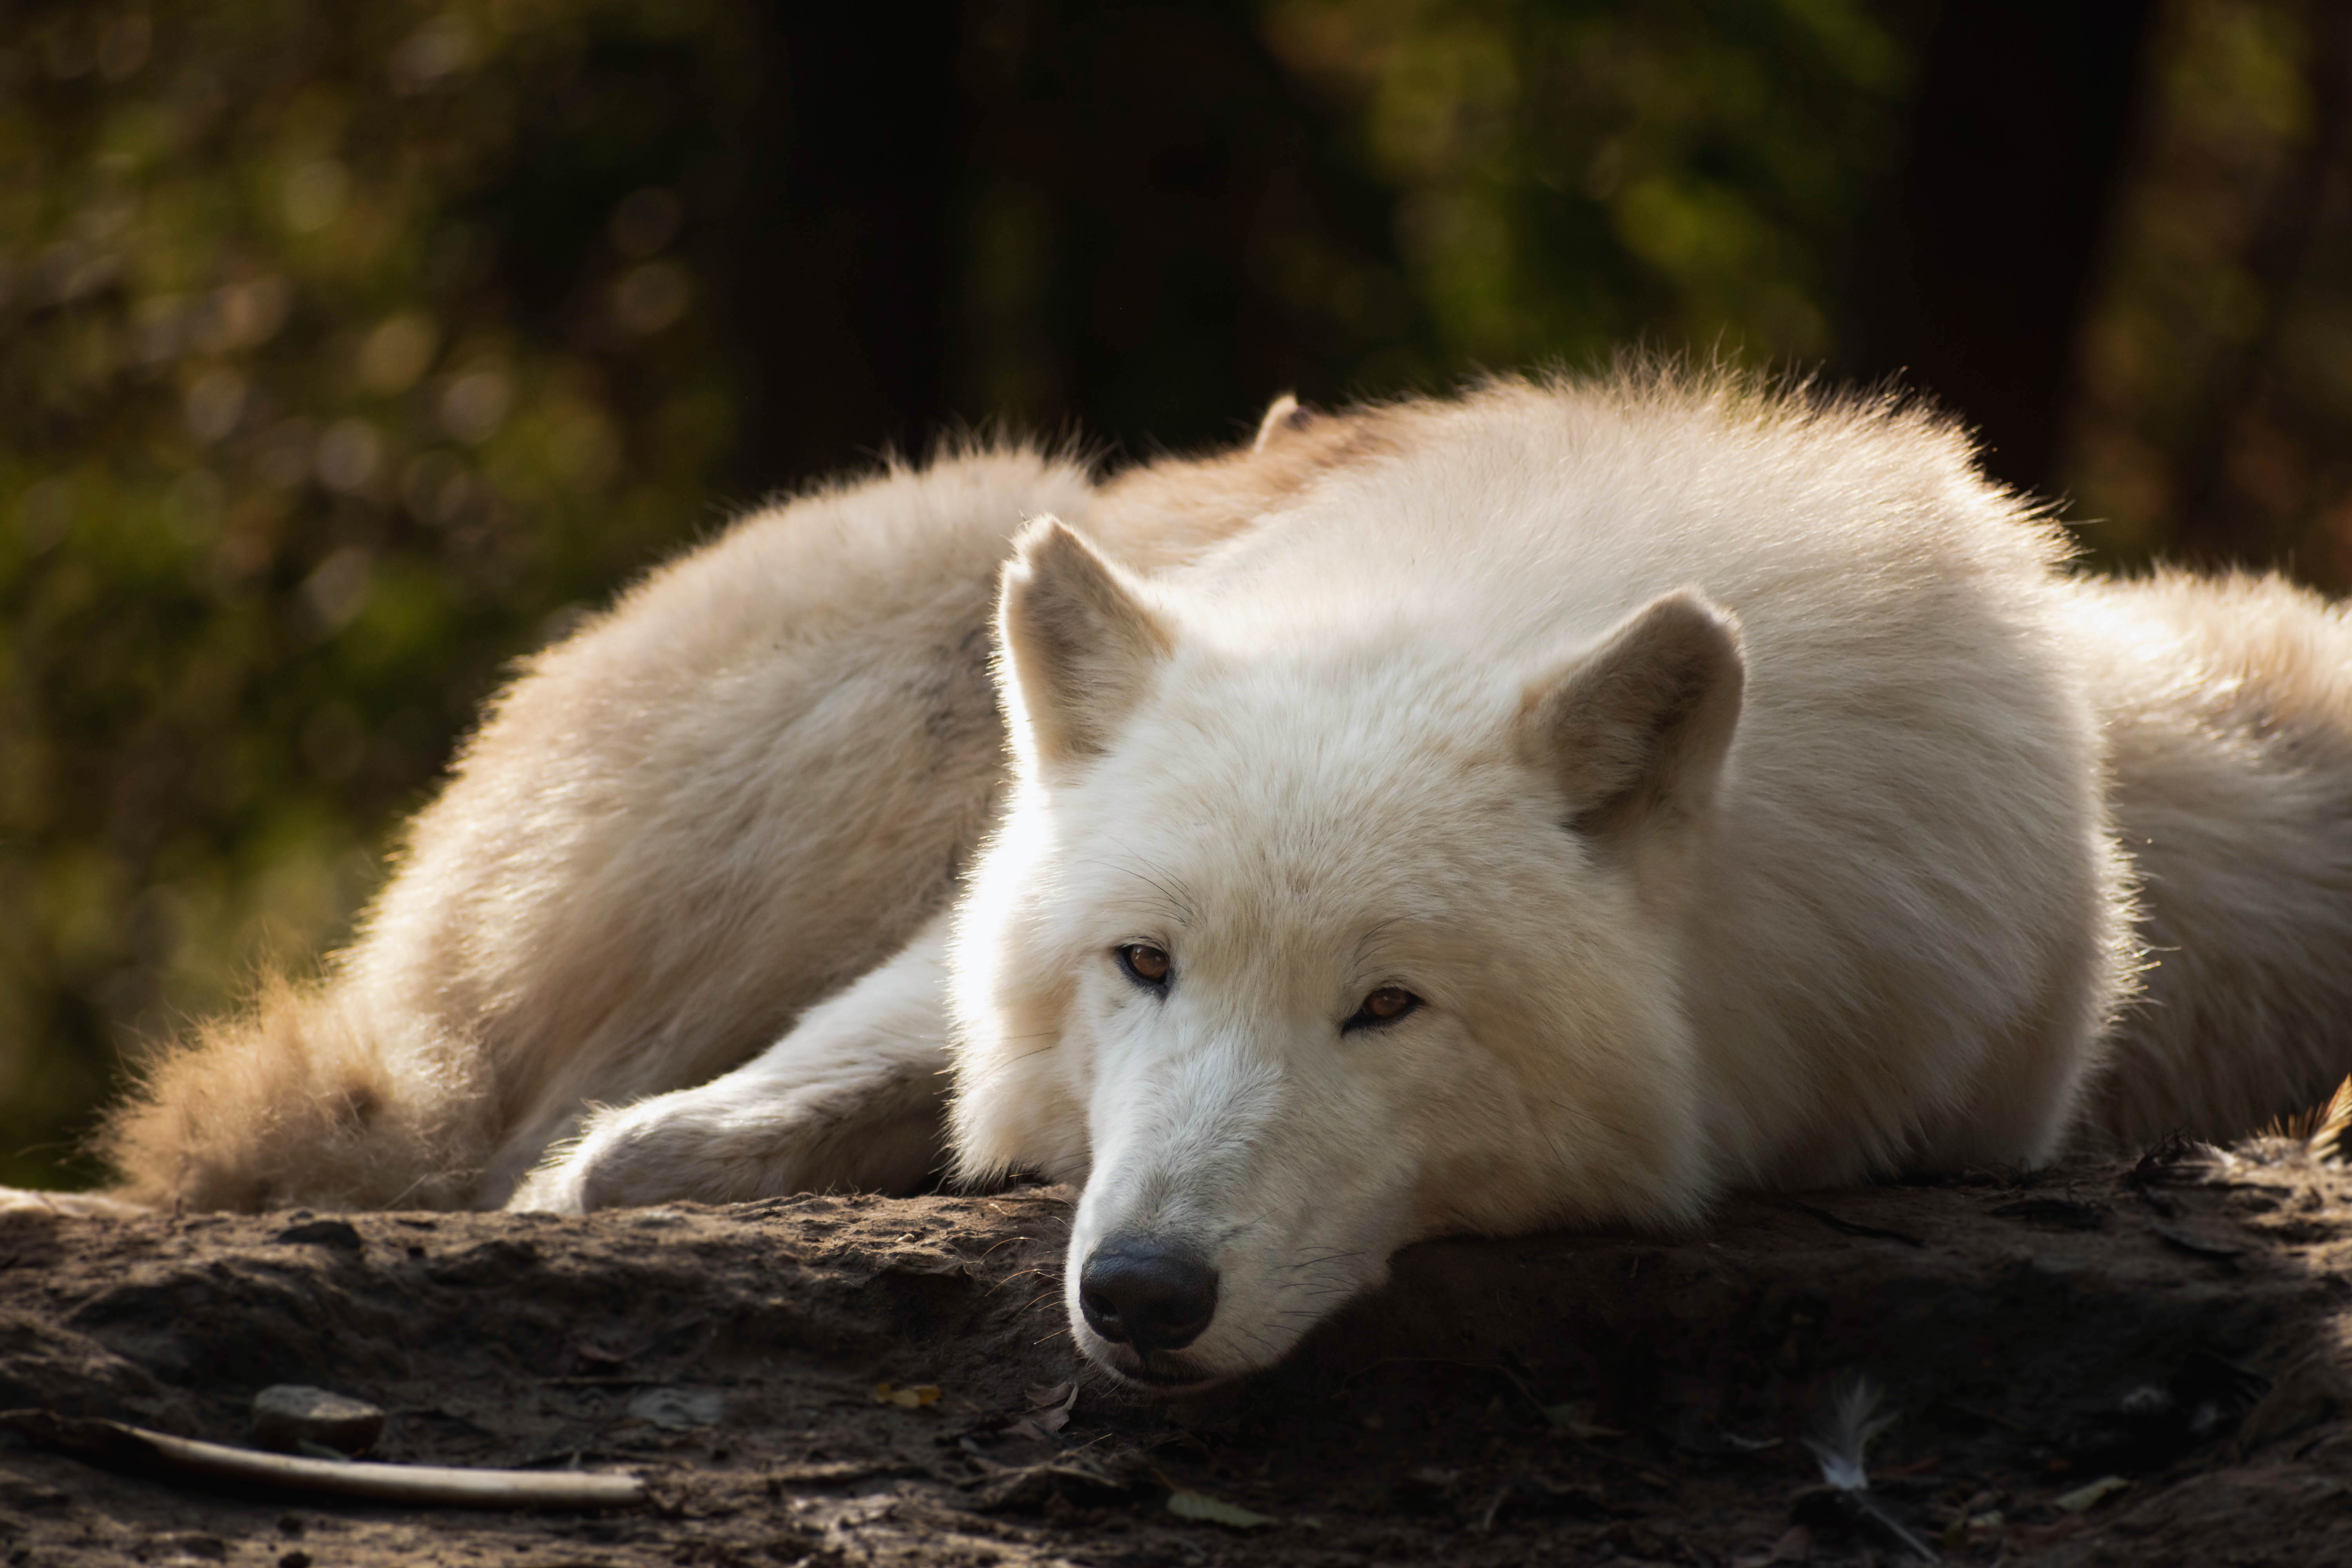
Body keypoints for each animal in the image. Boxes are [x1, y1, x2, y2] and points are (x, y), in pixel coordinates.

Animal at [58, 371, 2352, 1389]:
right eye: (1141, 964)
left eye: (1388, 1007)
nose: (1141, 1293)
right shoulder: (975, 922)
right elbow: (685, 1136)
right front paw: (660, 1171)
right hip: (945, 602)